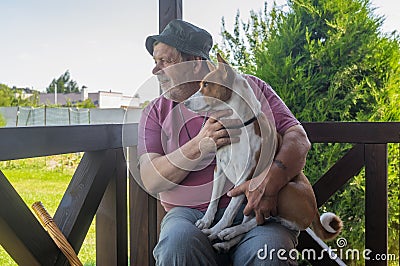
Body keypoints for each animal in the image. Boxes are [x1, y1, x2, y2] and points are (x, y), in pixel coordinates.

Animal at [183, 53, 342, 251]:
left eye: (206, 85)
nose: (185, 102)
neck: (238, 124)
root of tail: (314, 211)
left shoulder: (246, 177)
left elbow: (228, 212)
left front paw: (214, 230)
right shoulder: (220, 168)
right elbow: (214, 201)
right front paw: (206, 221)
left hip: (283, 190)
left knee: (259, 221)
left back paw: (227, 232)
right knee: (253, 221)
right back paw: (227, 241)